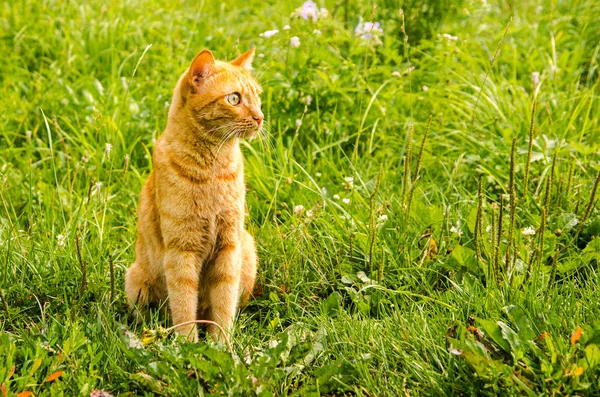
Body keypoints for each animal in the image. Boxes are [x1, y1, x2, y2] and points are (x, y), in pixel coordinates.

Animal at [123, 48, 262, 340]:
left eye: (257, 97)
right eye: (234, 98)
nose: (260, 117)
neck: (212, 169)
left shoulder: (229, 246)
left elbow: (223, 303)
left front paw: (221, 343)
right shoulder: (181, 251)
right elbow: (185, 306)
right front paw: (188, 344)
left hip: (247, 249)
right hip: (135, 282)